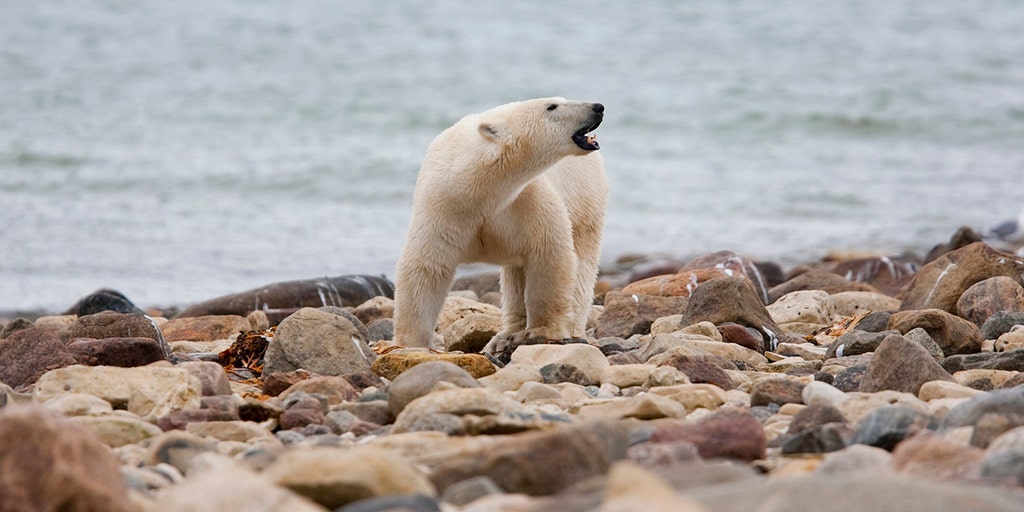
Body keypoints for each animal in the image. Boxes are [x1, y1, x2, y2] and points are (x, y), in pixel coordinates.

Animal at [393, 97, 608, 351]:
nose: (598, 107)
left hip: (585, 201)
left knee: (582, 264)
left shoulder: (525, 201)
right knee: (515, 276)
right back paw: (504, 336)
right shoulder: (443, 208)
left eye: (562, 100)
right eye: (552, 106)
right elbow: (427, 267)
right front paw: (410, 343)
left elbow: (549, 254)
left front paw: (543, 330)